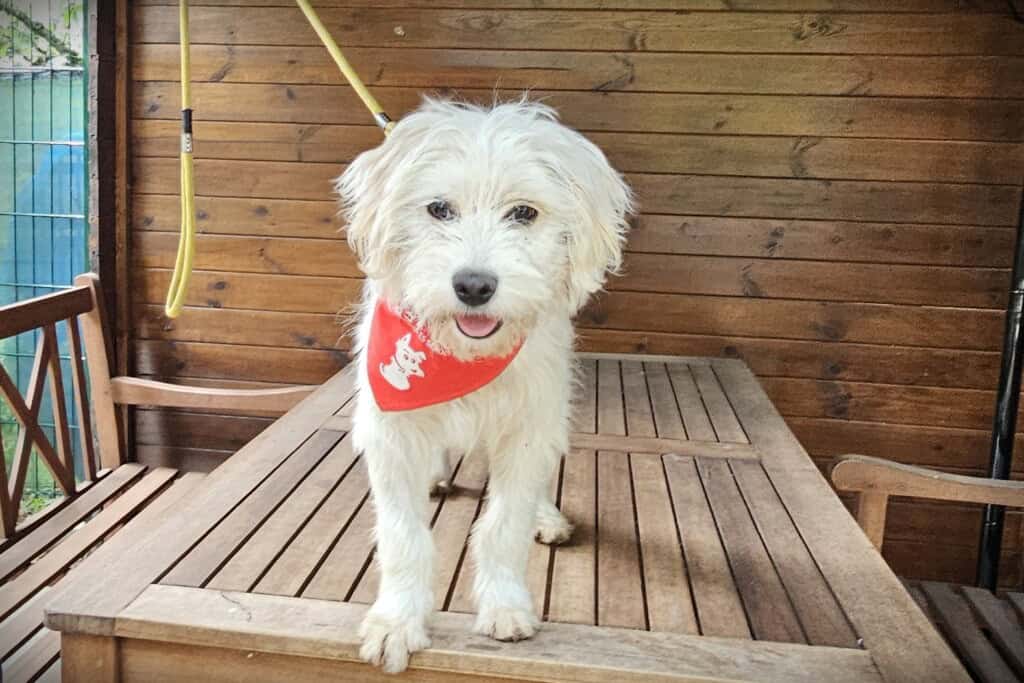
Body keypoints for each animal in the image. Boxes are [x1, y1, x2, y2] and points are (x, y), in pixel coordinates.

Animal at [337, 97, 632, 673]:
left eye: (524, 213)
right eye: (438, 209)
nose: (473, 286)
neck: (463, 355)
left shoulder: (529, 424)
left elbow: (504, 524)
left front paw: (504, 605)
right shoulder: (392, 431)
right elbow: (404, 536)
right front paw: (397, 621)